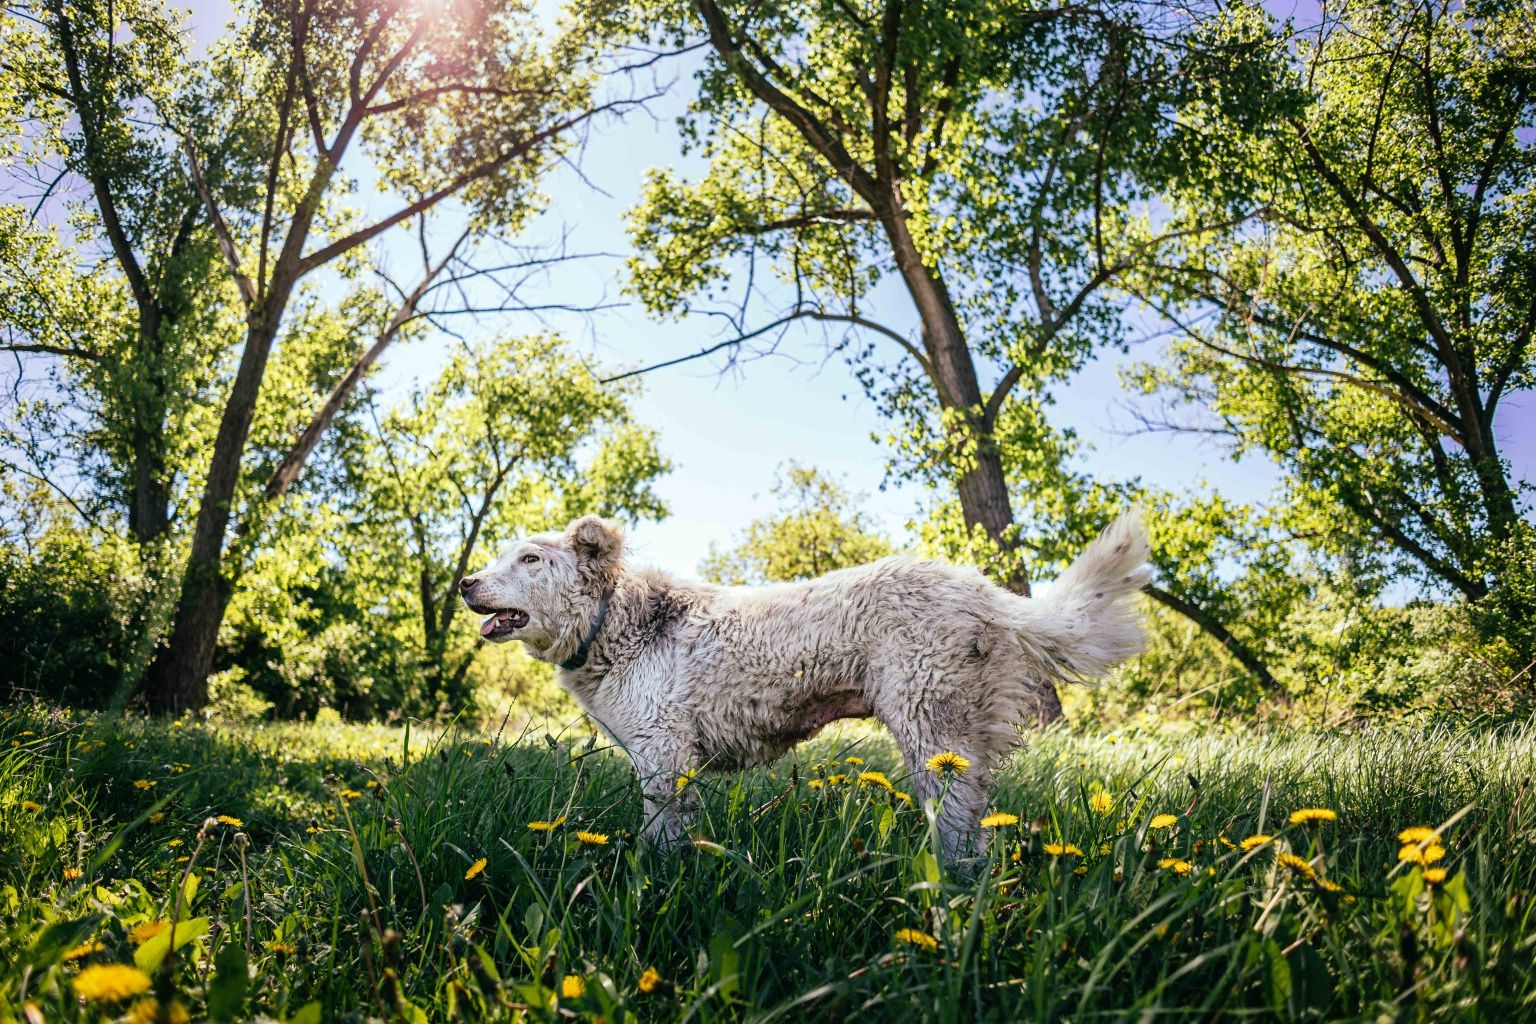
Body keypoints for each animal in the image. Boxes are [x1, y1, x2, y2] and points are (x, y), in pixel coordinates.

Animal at [460, 515, 1148, 859]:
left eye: (530, 560)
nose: (464, 582)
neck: (616, 622)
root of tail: (983, 593)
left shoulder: (664, 756)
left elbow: (662, 837)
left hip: (932, 733)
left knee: (960, 835)